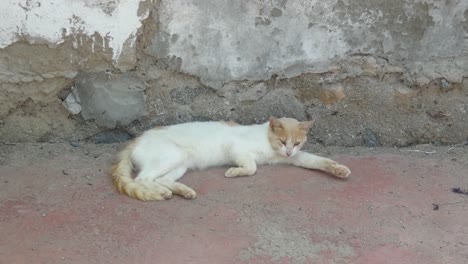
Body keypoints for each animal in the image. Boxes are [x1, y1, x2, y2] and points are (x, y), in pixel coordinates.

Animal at [111, 116, 350, 201]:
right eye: (283, 141)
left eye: (297, 143)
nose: (289, 151)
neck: (269, 145)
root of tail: (137, 138)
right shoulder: (236, 148)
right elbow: (252, 167)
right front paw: (235, 171)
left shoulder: (295, 158)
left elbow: (317, 160)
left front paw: (339, 169)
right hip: (172, 156)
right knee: (142, 179)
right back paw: (162, 193)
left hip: (180, 164)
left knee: (159, 179)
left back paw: (181, 190)